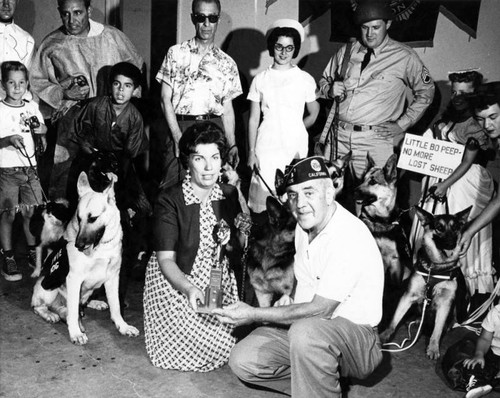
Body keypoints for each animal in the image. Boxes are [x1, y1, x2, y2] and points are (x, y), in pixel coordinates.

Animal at [380, 205, 470, 360]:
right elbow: (394, 320)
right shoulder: (408, 296)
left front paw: (433, 348)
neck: (435, 267)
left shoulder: (445, 303)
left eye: (455, 228)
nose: (451, 244)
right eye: (439, 227)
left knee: (450, 320)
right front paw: (385, 335)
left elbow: (437, 330)